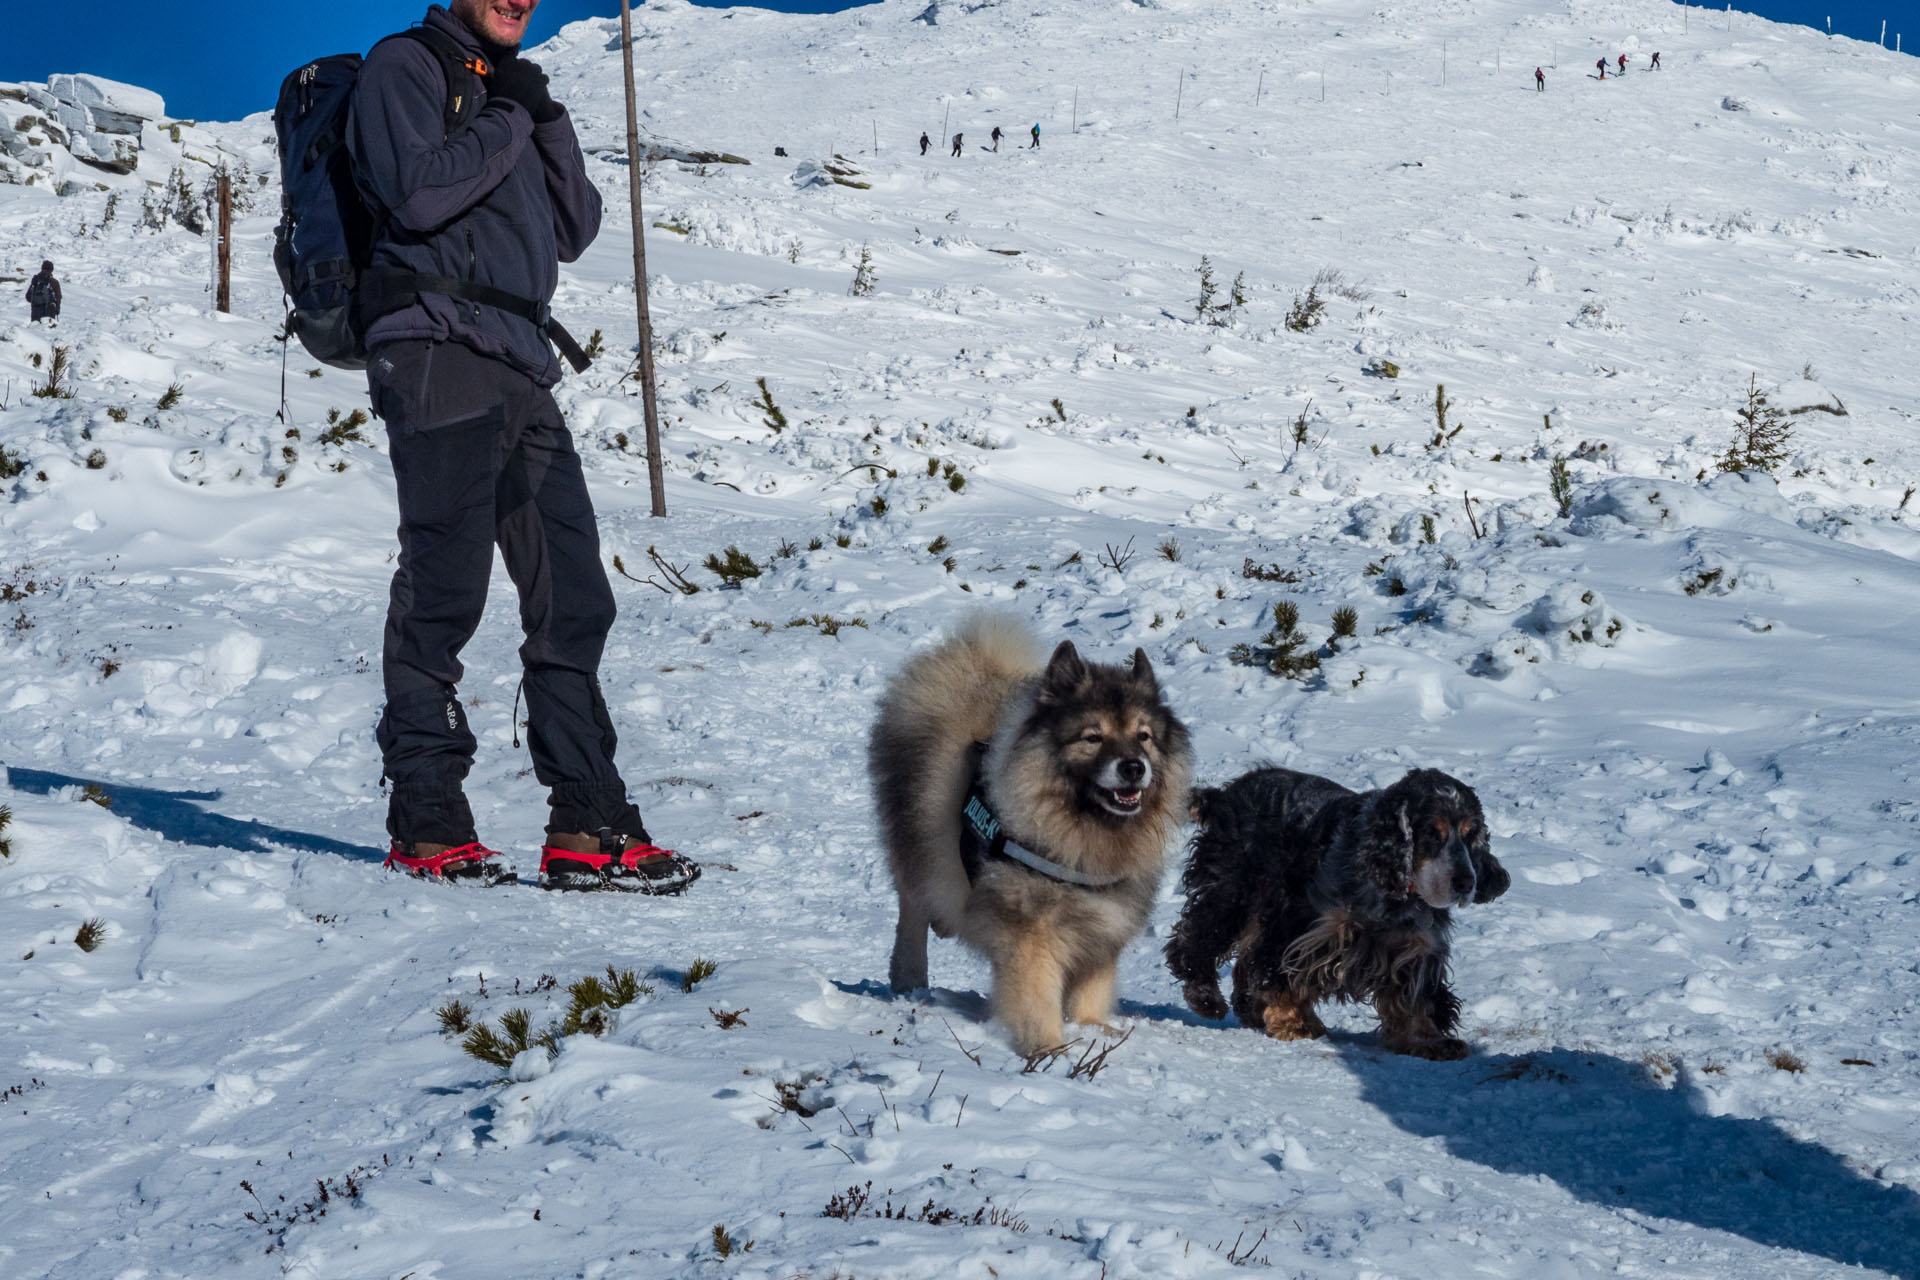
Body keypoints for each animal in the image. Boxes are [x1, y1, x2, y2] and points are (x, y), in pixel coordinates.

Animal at [867, 614, 1182, 1059]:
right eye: (1093, 737)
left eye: (1144, 736)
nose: (1134, 768)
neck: (1083, 832)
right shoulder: (1032, 930)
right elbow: (1036, 997)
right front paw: (1049, 1048)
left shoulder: (1104, 924)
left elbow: (1091, 989)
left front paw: (1095, 1030)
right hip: (919, 851)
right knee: (912, 912)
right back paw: (910, 979)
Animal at [1159, 771, 1505, 1059]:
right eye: (1432, 833)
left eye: (1471, 833)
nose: (1466, 883)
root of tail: (1226, 794)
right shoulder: (1302, 927)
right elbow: (1281, 974)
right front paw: (1297, 1024)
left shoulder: (1417, 948)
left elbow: (1419, 999)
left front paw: (1429, 1041)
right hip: (1233, 888)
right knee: (1197, 937)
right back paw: (1206, 997)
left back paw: (1249, 1008)